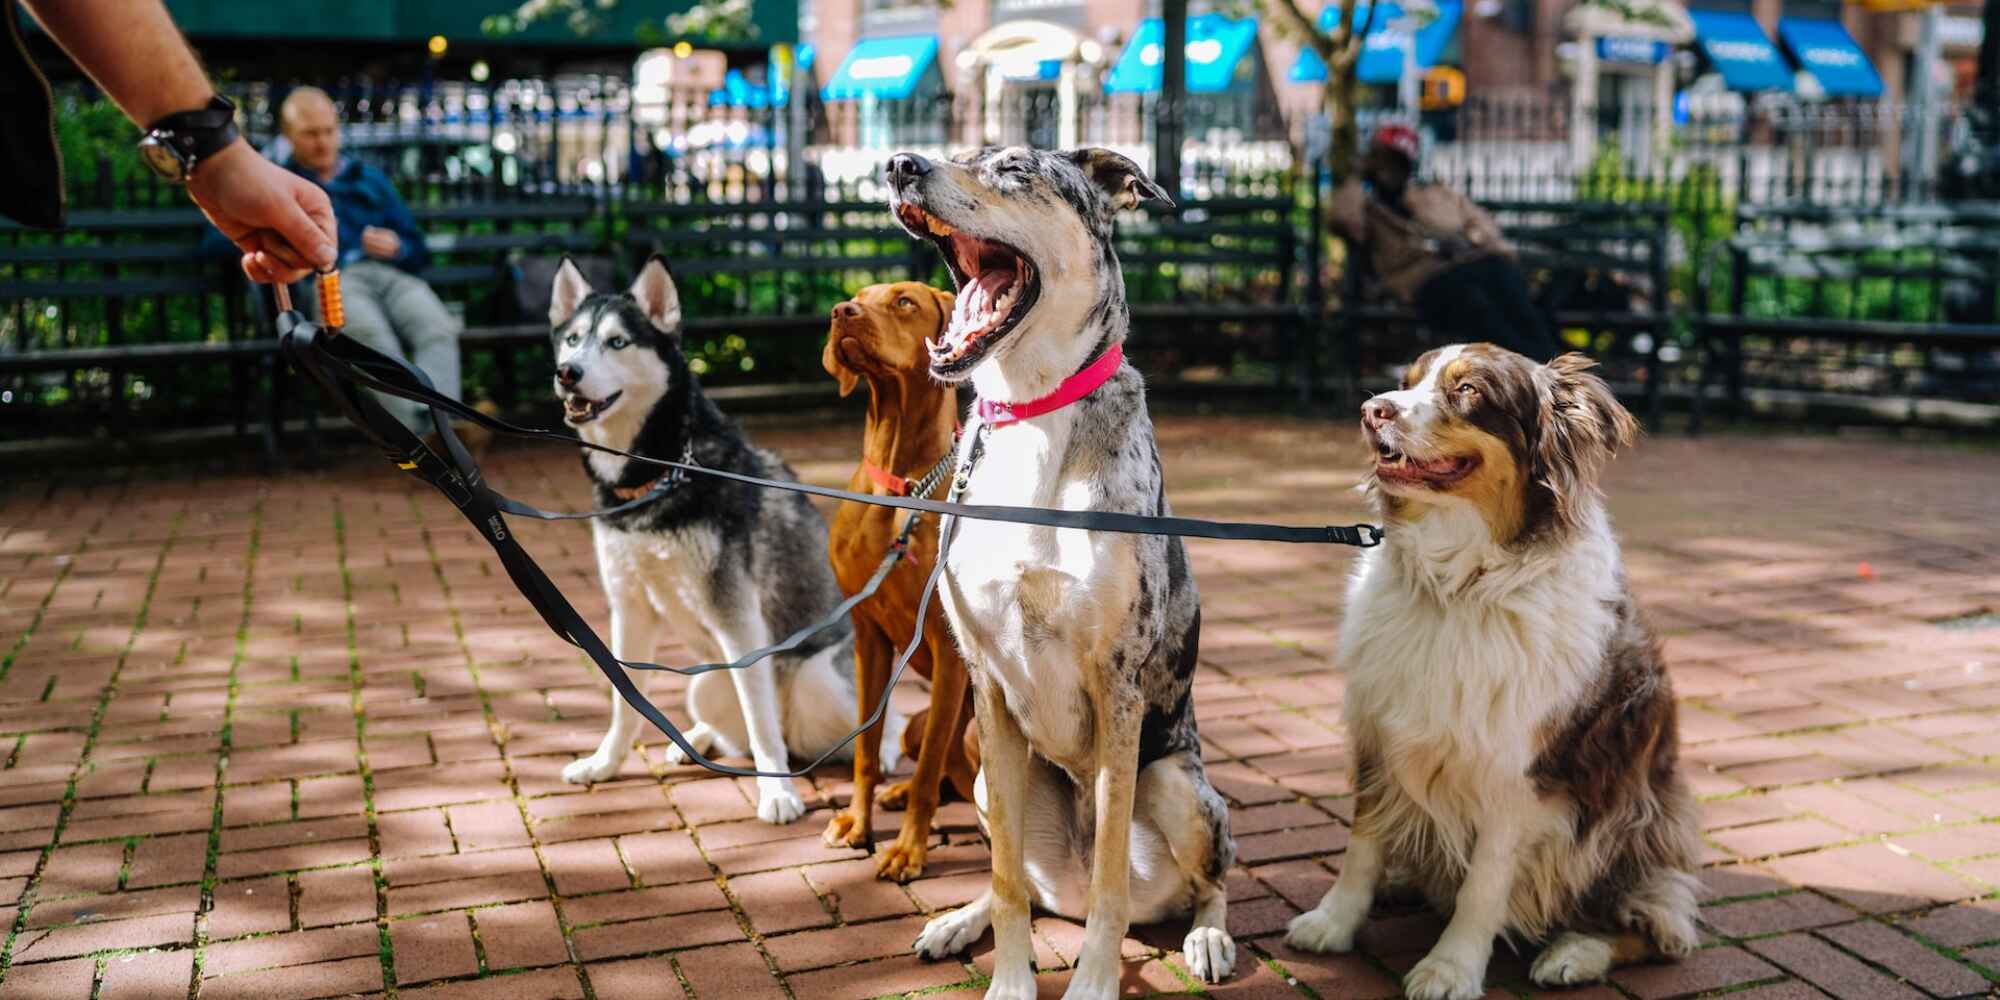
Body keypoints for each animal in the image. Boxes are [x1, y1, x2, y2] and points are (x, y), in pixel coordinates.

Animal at [540, 256, 900, 820]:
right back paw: (697, 740)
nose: (567, 373)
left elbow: (759, 717)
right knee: (738, 731)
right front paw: (605, 763)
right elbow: (624, 702)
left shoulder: (738, 616)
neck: (659, 474)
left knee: (878, 721)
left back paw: (874, 753)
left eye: (618, 342)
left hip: (818, 680)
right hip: (706, 683)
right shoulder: (629, 609)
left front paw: (777, 793)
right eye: (573, 339)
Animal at [820, 278, 976, 880]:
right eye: (858, 297)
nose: (841, 312)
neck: (900, 487)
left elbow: (930, 773)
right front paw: (857, 823)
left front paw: (909, 849)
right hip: (915, 722)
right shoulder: (867, 634)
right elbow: (866, 750)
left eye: (905, 301)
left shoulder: (949, 649)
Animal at [892, 150, 1232, 1000]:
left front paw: (1094, 983)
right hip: (989, 778)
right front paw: (1011, 981)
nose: (900, 164)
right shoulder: (986, 681)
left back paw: (1208, 938)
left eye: (1014, 167)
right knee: (1026, 880)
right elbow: (1008, 881)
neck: (1031, 412)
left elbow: (1111, 880)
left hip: (1178, 786)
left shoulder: (1117, 686)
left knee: (1207, 881)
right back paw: (959, 921)